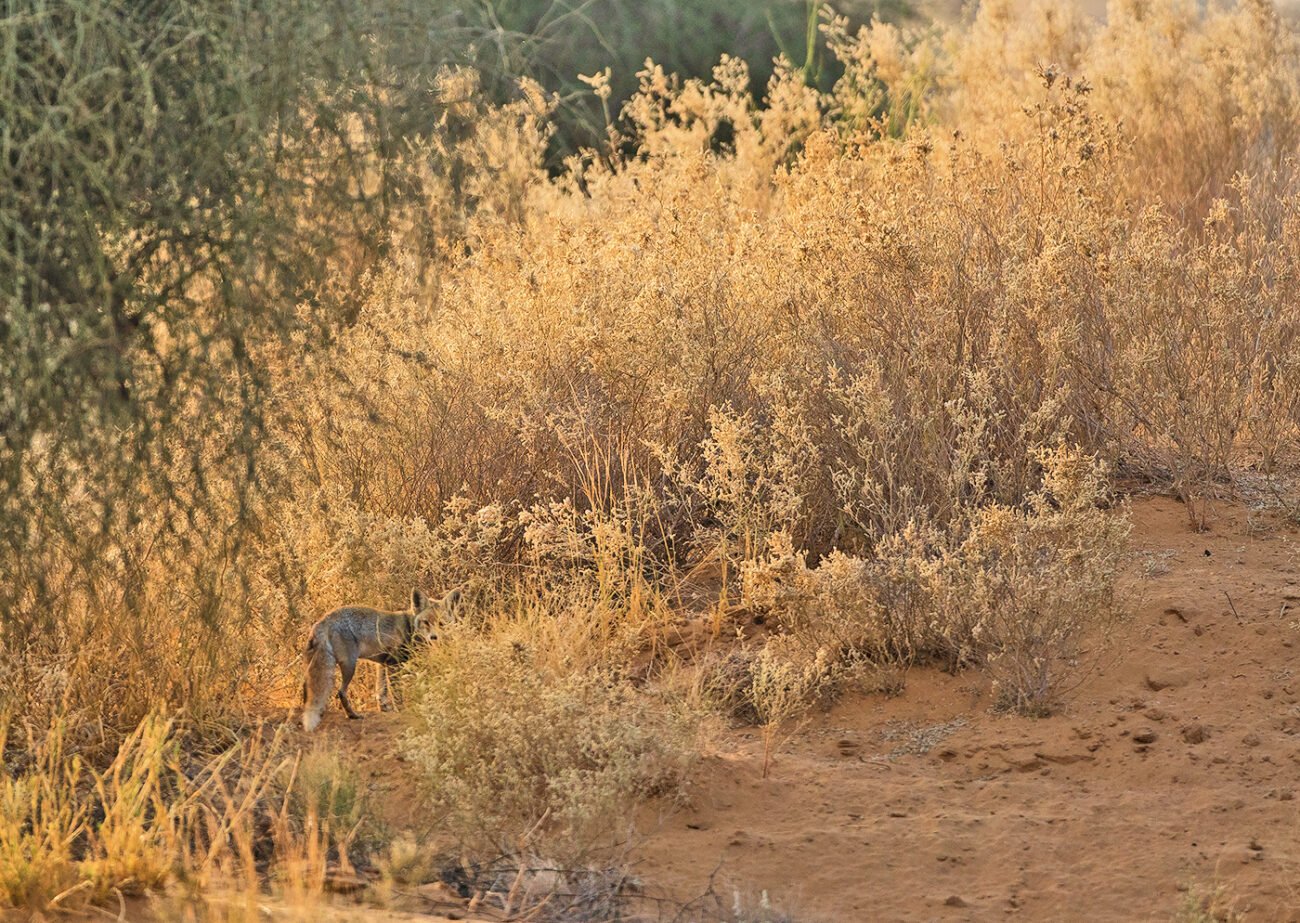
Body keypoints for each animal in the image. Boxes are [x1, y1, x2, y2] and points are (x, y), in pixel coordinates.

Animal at [301, 587, 462, 732]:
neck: (409, 628)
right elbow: (396, 693)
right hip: (349, 665)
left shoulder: (383, 664)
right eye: (426, 622)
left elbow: (381, 690)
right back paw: (353, 715)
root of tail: (323, 620)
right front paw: (400, 710)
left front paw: (384, 709)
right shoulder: (393, 664)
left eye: (441, 623)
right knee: (340, 692)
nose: (434, 637)